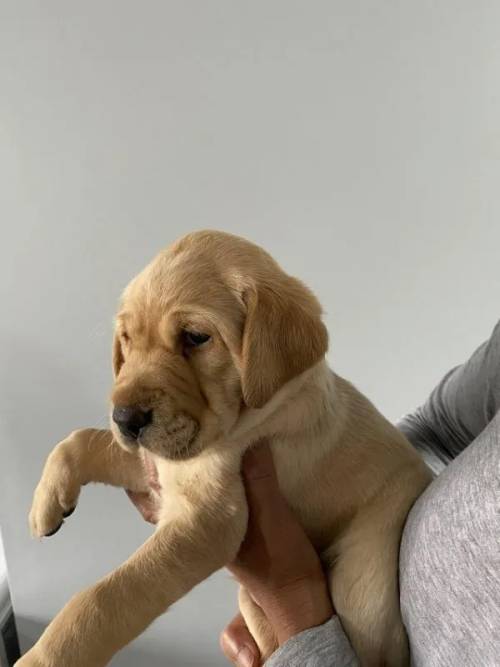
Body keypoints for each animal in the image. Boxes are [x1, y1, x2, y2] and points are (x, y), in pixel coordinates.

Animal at [18, 232, 430, 667]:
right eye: (127, 341)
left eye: (196, 337)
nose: (125, 418)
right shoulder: (163, 463)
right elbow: (81, 439)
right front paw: (46, 503)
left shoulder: (210, 522)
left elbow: (107, 595)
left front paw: (42, 658)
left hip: (365, 577)